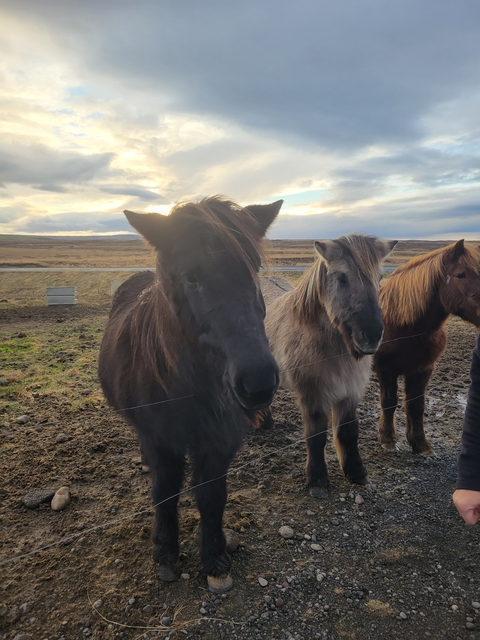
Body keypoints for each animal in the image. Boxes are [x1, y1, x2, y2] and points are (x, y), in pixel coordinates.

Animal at [98, 196, 283, 593]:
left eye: (253, 268)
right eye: (190, 276)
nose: (258, 382)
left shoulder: (219, 440)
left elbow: (211, 496)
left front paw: (215, 558)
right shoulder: (160, 438)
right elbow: (165, 491)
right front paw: (165, 551)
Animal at [262, 234, 397, 498]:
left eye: (379, 278)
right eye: (342, 278)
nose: (372, 336)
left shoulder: (349, 391)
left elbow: (348, 432)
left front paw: (356, 472)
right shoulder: (313, 394)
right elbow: (315, 436)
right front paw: (317, 480)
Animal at [374, 239, 480, 455]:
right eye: (460, 274)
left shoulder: (422, 369)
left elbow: (416, 405)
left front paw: (420, 443)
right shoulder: (385, 369)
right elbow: (388, 402)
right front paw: (387, 439)